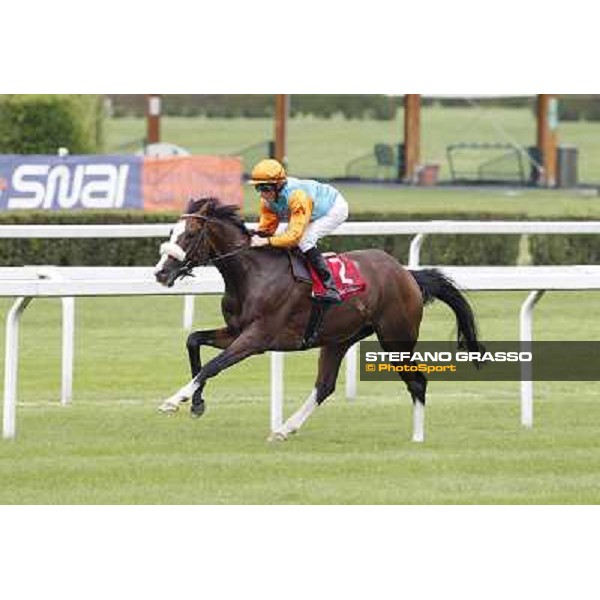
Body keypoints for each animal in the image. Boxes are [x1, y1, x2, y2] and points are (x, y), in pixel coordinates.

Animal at [155, 197, 482, 440]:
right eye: (171, 233)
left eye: (191, 234)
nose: (160, 273)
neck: (252, 274)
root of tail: (407, 274)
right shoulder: (235, 331)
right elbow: (193, 341)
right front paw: (196, 403)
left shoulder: (256, 338)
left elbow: (212, 366)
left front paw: (174, 400)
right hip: (340, 338)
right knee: (325, 386)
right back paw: (284, 429)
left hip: (396, 339)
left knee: (417, 382)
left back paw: (417, 438)